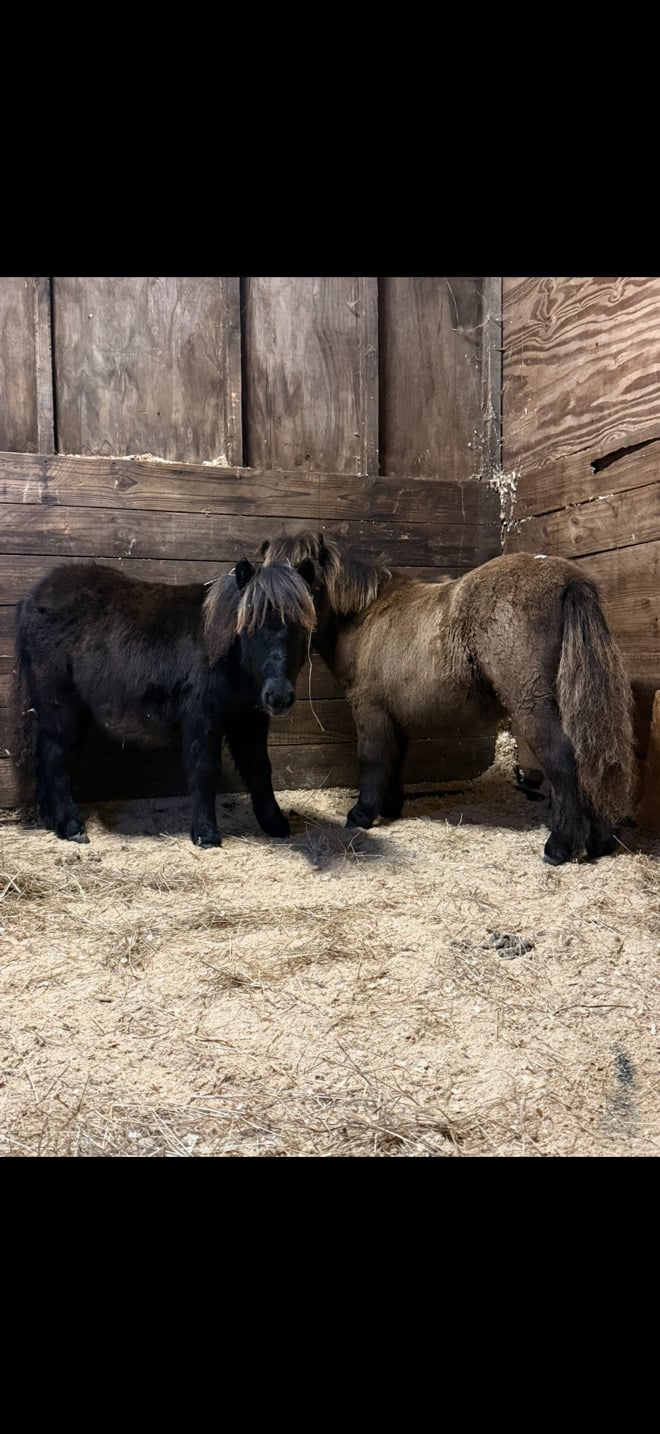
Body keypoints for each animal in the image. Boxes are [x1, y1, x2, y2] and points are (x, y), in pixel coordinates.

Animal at [14, 555, 316, 848]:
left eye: (301, 628)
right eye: (251, 626)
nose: (279, 696)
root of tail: (33, 596)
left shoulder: (249, 720)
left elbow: (259, 768)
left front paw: (275, 824)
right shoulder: (203, 718)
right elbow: (205, 769)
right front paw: (206, 834)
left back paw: (53, 822)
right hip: (60, 706)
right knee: (55, 760)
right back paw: (71, 826)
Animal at [260, 531, 636, 865]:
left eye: (307, 578)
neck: (365, 616)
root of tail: (567, 578)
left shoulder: (369, 708)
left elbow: (372, 758)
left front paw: (362, 814)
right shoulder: (396, 715)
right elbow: (394, 758)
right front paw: (390, 807)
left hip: (532, 704)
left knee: (563, 760)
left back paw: (559, 846)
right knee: (591, 756)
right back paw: (598, 841)